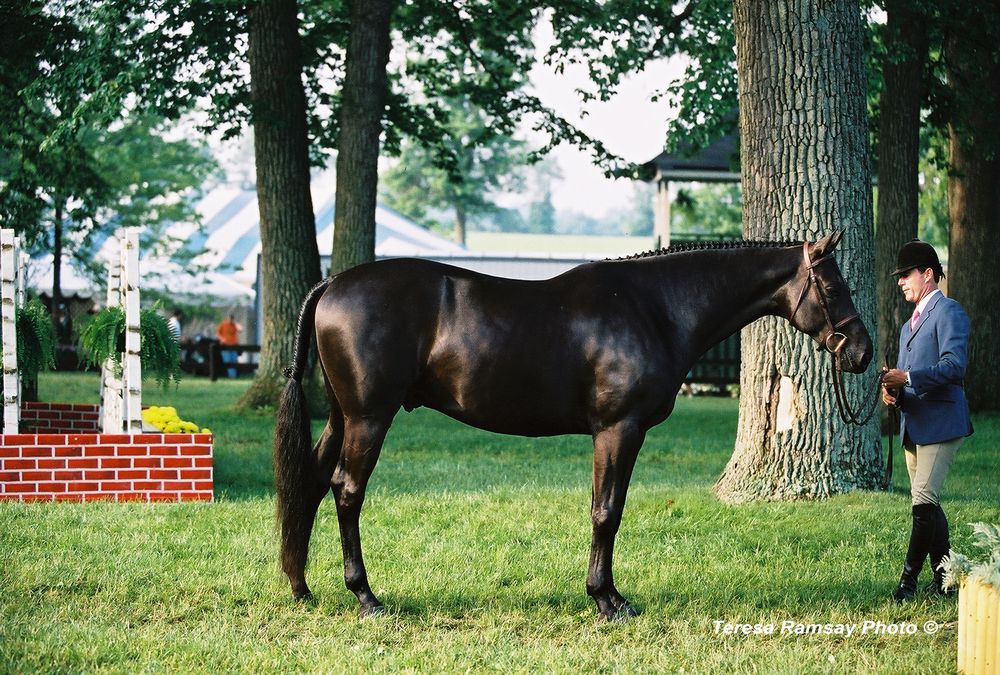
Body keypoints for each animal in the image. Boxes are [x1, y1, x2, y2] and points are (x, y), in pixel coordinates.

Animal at [273, 230, 873, 621]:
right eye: (834, 287)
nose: (863, 353)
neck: (655, 307)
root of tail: (332, 284)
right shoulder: (618, 429)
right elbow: (607, 512)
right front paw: (608, 600)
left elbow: (607, 510)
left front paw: (607, 595)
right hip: (369, 418)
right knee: (346, 491)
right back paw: (366, 597)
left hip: (342, 417)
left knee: (311, 484)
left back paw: (302, 587)